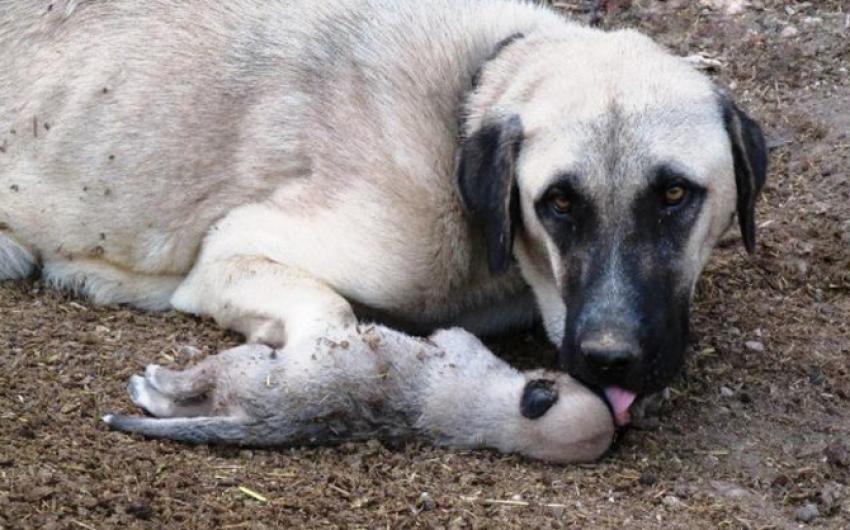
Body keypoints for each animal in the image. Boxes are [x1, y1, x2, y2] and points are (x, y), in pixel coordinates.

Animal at [0, 0, 764, 426]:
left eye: (675, 195)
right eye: (559, 203)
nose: (611, 360)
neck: (465, 100)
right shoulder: (232, 253)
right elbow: (332, 318)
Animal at [102, 326, 612, 462]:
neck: (502, 417)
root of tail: (260, 424)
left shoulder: (461, 345)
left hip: (245, 364)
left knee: (185, 388)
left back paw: (150, 381)